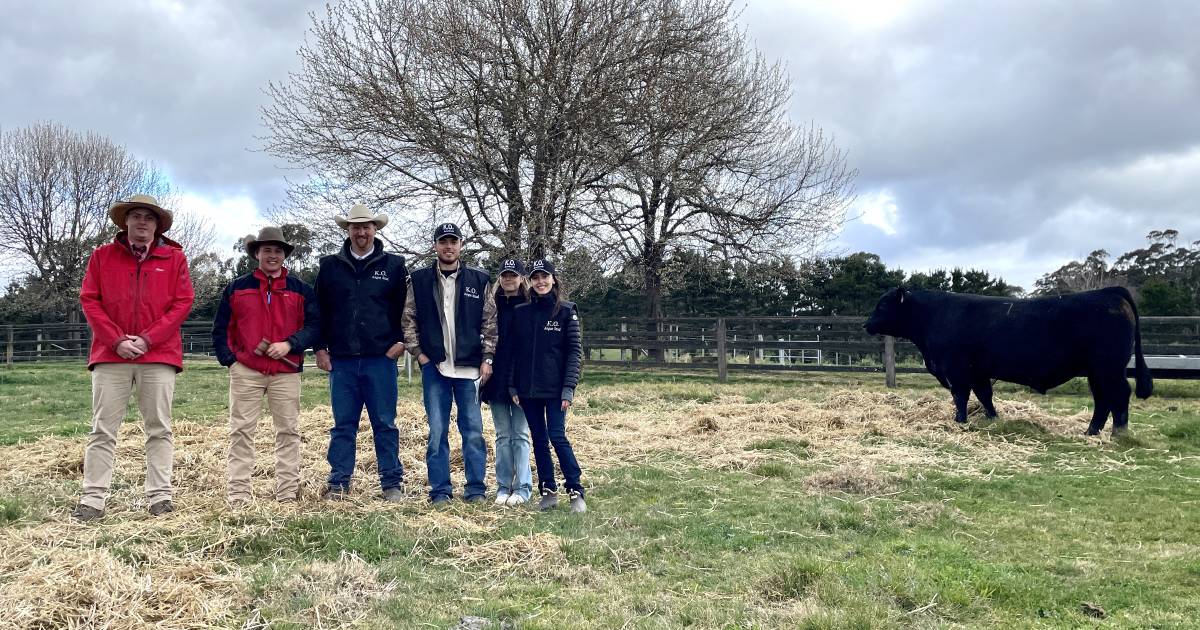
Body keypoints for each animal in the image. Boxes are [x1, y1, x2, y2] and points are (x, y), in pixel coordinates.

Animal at [864, 285, 1152, 436]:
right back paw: (1091, 432)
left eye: (882, 305)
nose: (867, 324)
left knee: (1119, 394)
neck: (933, 316)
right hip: (1096, 371)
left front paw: (959, 421)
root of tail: (1108, 291)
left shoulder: (956, 369)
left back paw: (1119, 433)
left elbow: (961, 396)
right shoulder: (978, 371)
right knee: (1102, 399)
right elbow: (985, 395)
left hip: (1109, 367)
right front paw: (992, 418)